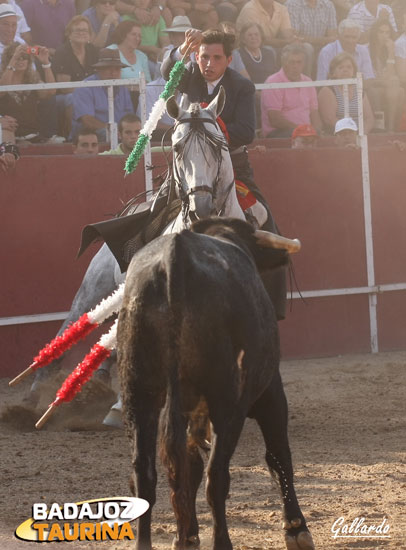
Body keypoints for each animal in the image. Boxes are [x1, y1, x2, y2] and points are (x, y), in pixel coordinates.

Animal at [117, 220, 314, 550]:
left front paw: (186, 535)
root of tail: (176, 257)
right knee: (217, 475)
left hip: (138, 395)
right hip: (227, 404)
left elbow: (189, 468)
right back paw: (222, 542)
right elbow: (277, 454)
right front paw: (296, 528)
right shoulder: (270, 393)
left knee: (145, 476)